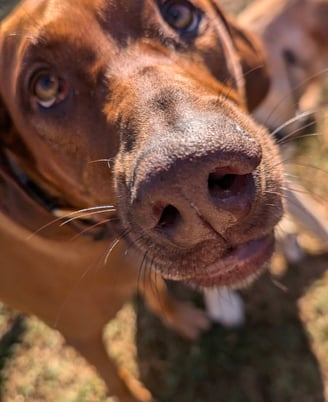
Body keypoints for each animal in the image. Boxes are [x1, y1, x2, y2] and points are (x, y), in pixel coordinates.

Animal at [0, 1, 282, 400]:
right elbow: (118, 381)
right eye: (46, 86)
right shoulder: (81, 336)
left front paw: (183, 319)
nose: (187, 181)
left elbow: (156, 290)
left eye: (179, 14)